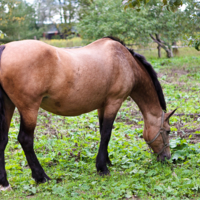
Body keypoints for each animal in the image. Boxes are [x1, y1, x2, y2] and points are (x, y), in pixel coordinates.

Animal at [0, 36, 175, 190]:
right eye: (167, 131)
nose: (167, 158)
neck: (126, 62)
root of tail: (5, 48)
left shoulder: (102, 106)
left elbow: (102, 132)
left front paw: (106, 161)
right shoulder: (114, 102)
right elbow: (106, 134)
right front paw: (102, 168)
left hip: (8, 106)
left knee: (3, 140)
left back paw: (5, 183)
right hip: (29, 109)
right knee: (25, 140)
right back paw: (41, 177)